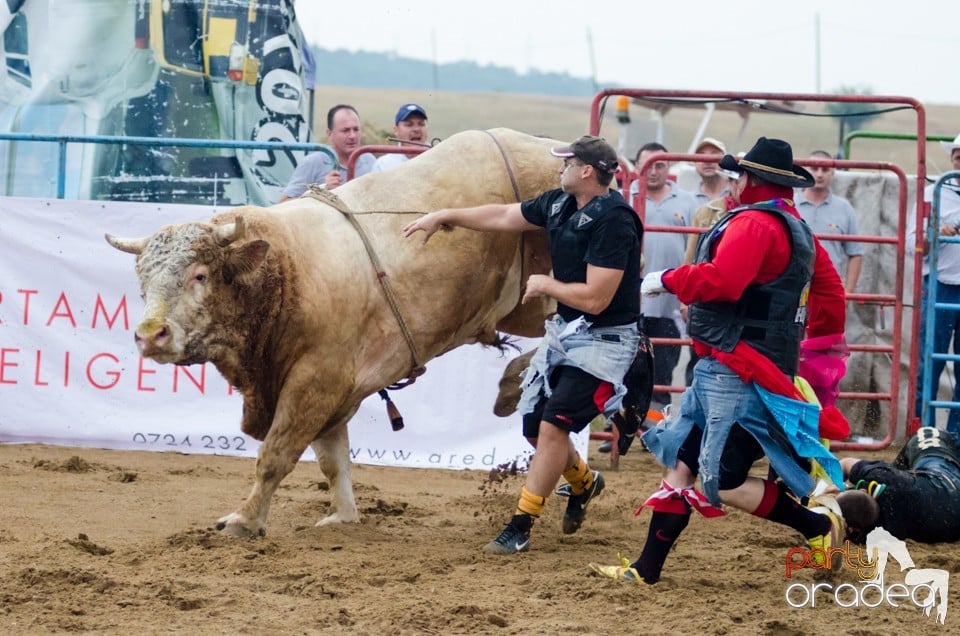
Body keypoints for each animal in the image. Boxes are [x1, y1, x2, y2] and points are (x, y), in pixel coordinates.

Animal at [108, 129, 564, 536]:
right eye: (142, 282)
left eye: (199, 275)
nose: (150, 335)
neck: (285, 271)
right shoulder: (330, 391)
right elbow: (332, 458)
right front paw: (343, 515)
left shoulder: (316, 379)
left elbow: (276, 454)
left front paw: (244, 520)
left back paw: (513, 383)